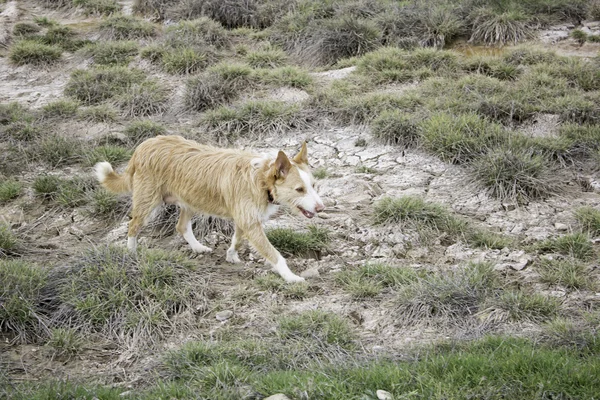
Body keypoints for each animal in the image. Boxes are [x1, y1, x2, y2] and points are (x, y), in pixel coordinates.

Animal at [95, 134, 324, 282]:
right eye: (299, 189)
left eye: (313, 185)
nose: (321, 208)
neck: (262, 179)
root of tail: (143, 146)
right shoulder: (250, 223)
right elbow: (275, 255)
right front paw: (291, 277)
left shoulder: (245, 220)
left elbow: (237, 240)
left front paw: (231, 256)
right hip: (148, 203)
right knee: (133, 226)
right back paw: (131, 252)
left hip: (190, 201)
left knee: (181, 226)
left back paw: (197, 248)